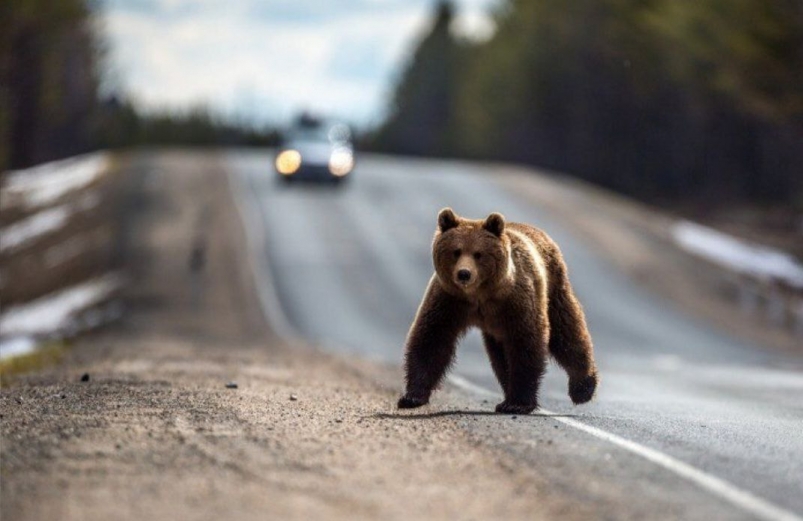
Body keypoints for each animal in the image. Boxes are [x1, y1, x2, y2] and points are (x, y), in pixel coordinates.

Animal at [398, 205, 600, 412]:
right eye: (456, 251)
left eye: (478, 253)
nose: (464, 274)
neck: (480, 294)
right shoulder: (450, 300)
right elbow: (432, 338)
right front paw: (411, 397)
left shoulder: (515, 301)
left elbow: (526, 343)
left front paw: (519, 403)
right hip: (497, 328)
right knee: (500, 356)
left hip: (553, 288)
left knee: (566, 332)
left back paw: (583, 387)